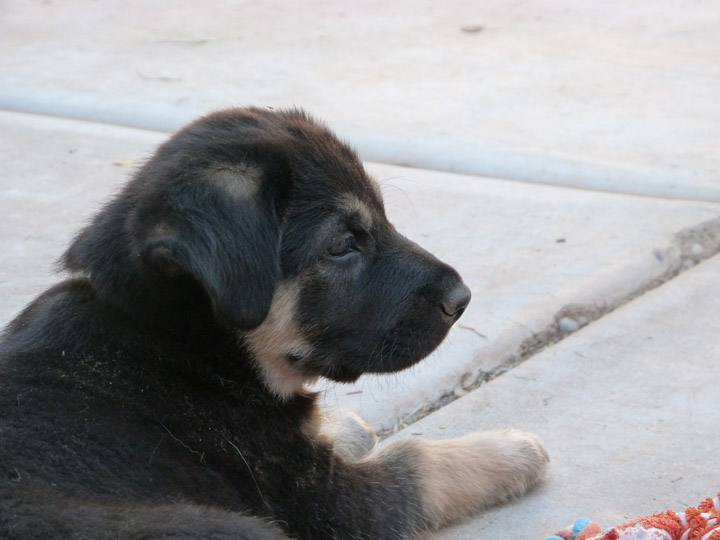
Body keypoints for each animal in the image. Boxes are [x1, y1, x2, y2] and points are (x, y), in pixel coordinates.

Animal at [0, 107, 544, 536]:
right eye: (342, 245)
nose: (462, 298)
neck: (183, 343)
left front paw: (340, 425)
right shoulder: (328, 502)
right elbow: (417, 462)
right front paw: (512, 450)